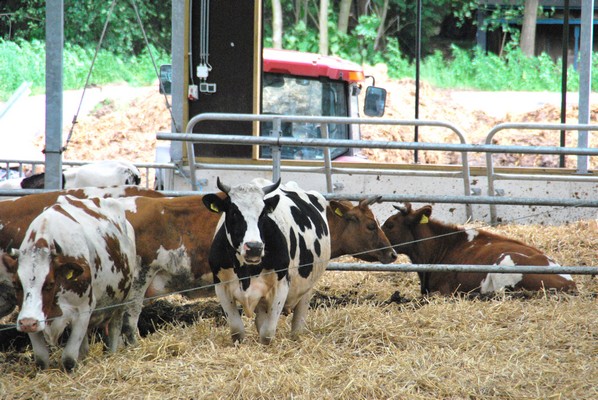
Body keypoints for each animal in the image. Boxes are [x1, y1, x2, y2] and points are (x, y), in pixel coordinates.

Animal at [2, 195, 141, 370]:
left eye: (50, 283)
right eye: (16, 284)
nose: (28, 323)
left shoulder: (83, 311)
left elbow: (68, 358)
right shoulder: (29, 314)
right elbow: (41, 359)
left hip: (121, 303)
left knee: (114, 329)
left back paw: (111, 353)